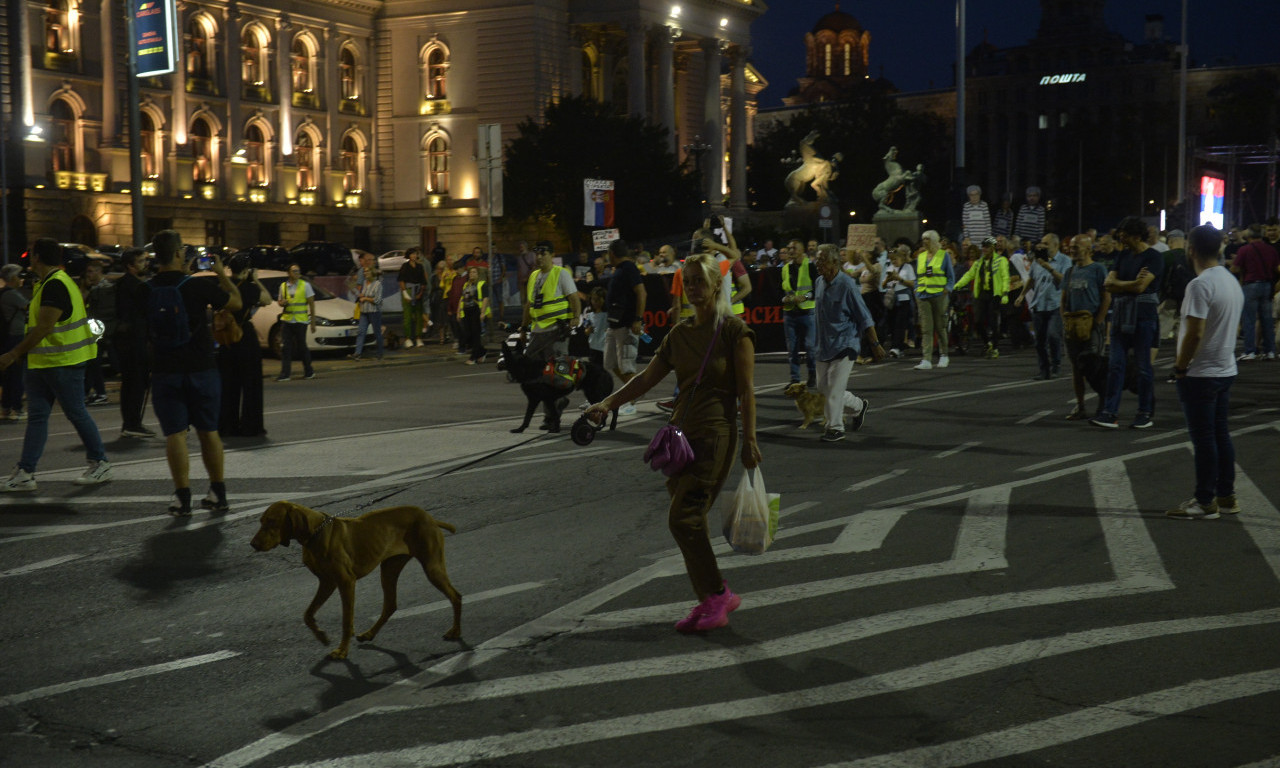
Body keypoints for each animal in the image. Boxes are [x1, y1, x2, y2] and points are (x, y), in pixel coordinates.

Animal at [247, 501, 463, 655]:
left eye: (272, 521)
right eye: (261, 521)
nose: (253, 544)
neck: (315, 533)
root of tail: (430, 517)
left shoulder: (345, 582)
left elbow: (346, 620)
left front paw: (342, 651)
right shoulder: (327, 583)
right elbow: (307, 615)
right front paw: (322, 636)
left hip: (431, 567)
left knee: (456, 596)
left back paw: (455, 632)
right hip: (389, 569)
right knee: (390, 605)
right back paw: (369, 633)